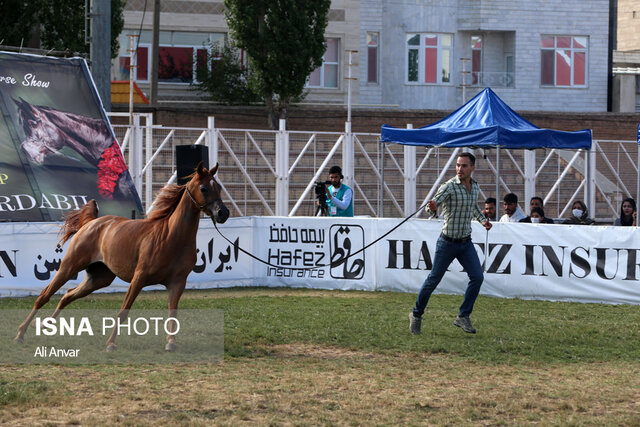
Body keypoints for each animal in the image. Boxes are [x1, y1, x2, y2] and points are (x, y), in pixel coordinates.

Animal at [13, 162, 230, 352]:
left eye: (218, 186)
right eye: (203, 188)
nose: (223, 213)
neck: (171, 236)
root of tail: (91, 223)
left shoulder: (177, 282)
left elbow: (172, 314)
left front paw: (170, 343)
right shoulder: (139, 278)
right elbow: (123, 311)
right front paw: (110, 344)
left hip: (98, 278)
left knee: (67, 295)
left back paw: (45, 326)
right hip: (68, 267)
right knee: (44, 296)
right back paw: (20, 334)